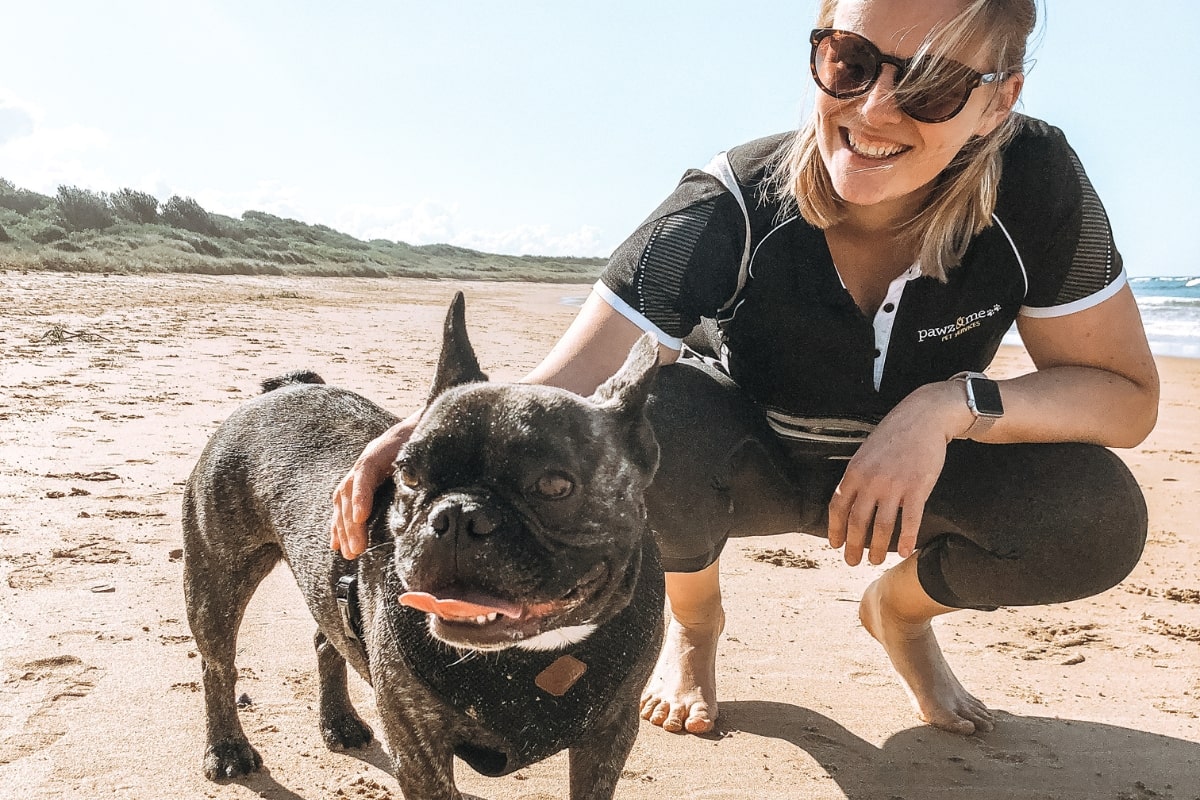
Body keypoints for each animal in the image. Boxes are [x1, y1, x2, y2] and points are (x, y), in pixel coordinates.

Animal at [181, 293, 667, 800]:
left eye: (554, 486)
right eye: (409, 476)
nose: (458, 515)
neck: (535, 656)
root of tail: (286, 388)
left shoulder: (610, 732)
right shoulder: (418, 747)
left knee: (326, 640)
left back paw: (340, 723)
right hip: (215, 580)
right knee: (217, 665)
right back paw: (228, 750)